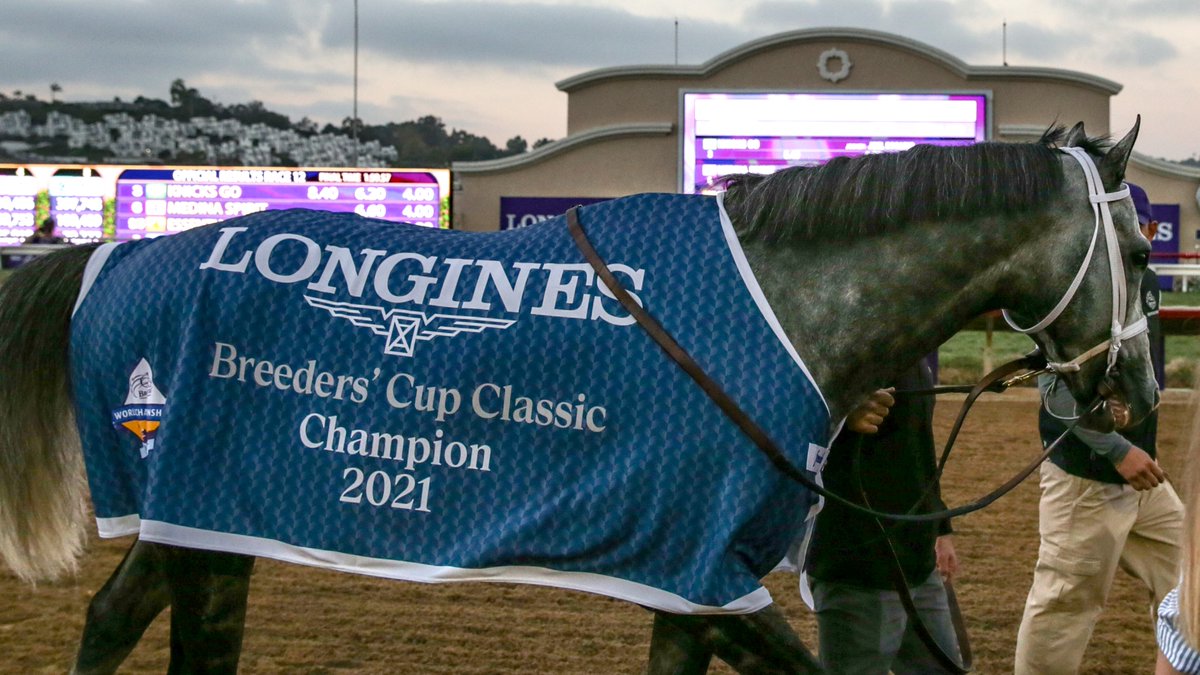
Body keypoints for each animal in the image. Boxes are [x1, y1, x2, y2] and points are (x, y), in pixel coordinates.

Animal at [0, 119, 1161, 667]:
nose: (1137, 393)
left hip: (213, 517)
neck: (783, 303)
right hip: (200, 508)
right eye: (1148, 251)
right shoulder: (706, 575)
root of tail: (118, 258)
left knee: (139, 623)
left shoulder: (692, 581)